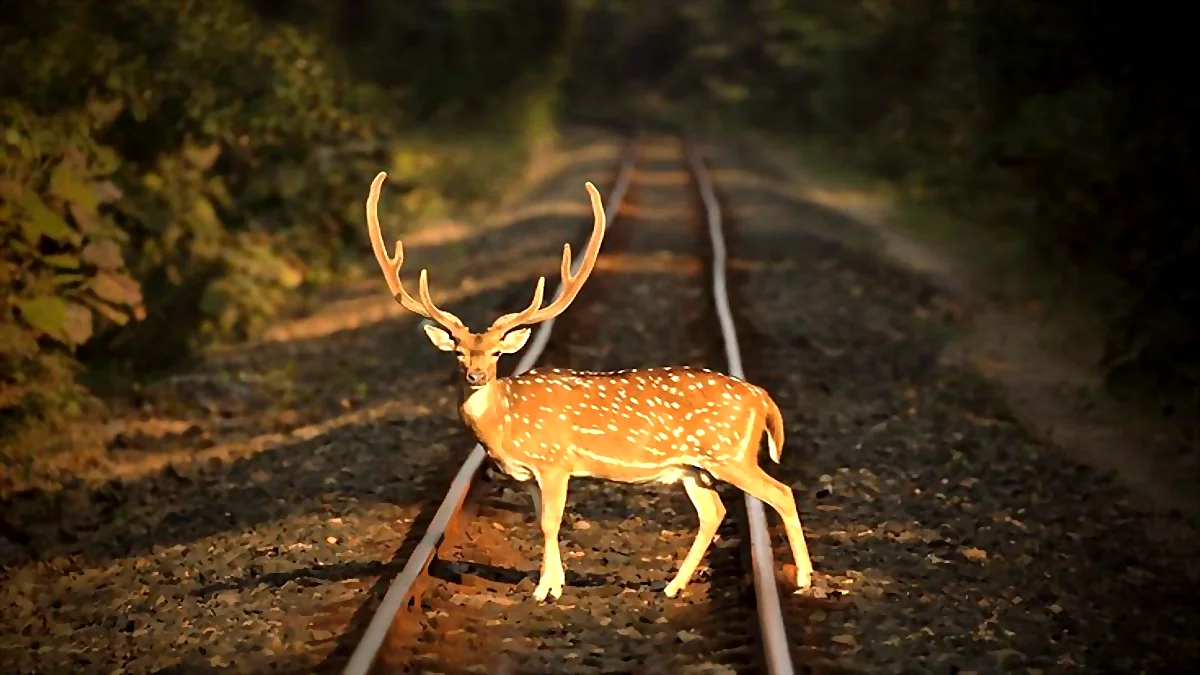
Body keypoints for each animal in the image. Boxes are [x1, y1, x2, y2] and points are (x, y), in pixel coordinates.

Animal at [365, 171, 814, 602]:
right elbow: (540, 523)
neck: (505, 423)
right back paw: (672, 586)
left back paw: (804, 579)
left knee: (781, 492)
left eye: (495, 353)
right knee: (714, 512)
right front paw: (555, 582)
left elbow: (550, 522)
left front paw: (544, 590)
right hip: (693, 467)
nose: (476, 376)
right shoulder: (529, 475)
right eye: (457, 351)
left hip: (729, 453)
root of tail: (762, 397)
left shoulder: (553, 460)